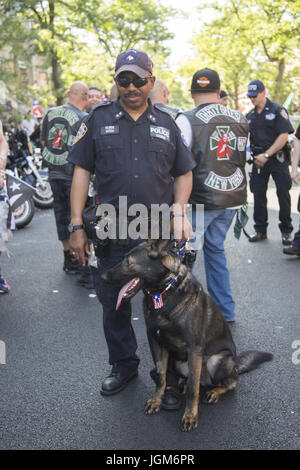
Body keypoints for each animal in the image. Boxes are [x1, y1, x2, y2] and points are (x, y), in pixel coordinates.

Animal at [102, 241, 272, 432]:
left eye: (128, 262)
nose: (102, 276)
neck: (163, 293)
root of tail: (236, 366)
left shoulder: (194, 350)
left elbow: (193, 390)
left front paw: (190, 416)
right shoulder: (158, 344)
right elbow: (161, 377)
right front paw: (156, 400)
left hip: (216, 360)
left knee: (229, 383)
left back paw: (214, 392)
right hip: (179, 363)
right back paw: (182, 384)